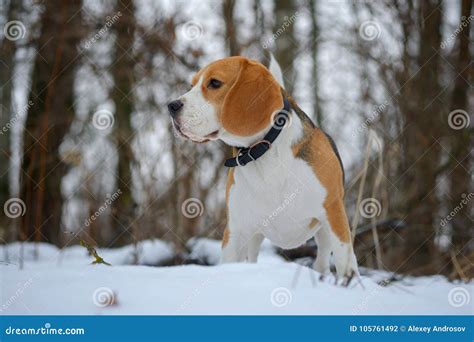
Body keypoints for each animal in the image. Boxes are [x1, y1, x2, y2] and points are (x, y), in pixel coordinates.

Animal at [168, 56, 358, 280]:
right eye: (192, 85)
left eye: (214, 83)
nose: (171, 106)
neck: (264, 153)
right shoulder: (236, 230)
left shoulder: (334, 214)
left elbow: (345, 260)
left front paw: (349, 283)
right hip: (253, 234)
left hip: (324, 231)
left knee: (321, 261)